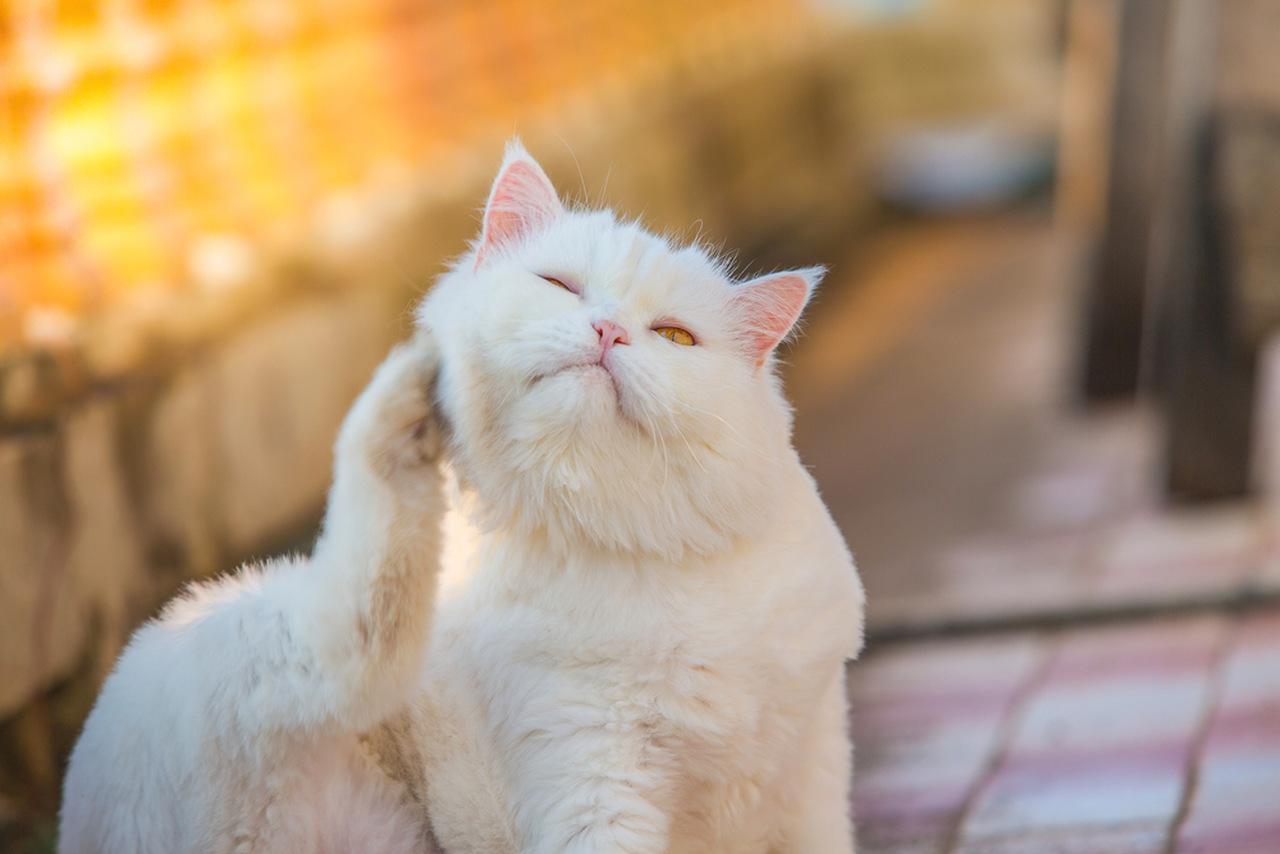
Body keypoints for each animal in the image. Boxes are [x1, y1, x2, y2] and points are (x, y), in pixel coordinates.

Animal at [57, 143, 860, 850]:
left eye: (674, 338)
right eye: (560, 286)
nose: (607, 332)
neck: (634, 557)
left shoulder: (812, 773)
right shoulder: (590, 775)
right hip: (270, 650)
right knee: (355, 612)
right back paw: (407, 388)